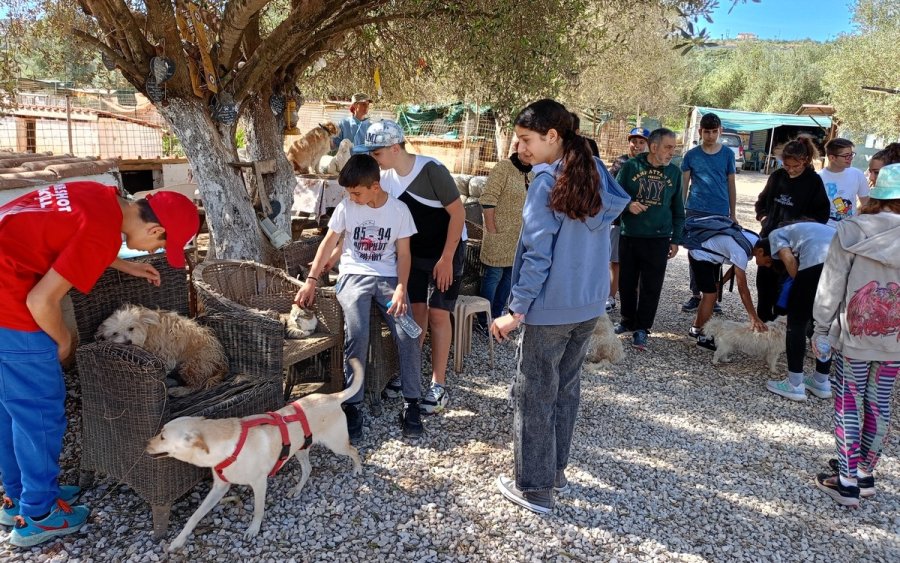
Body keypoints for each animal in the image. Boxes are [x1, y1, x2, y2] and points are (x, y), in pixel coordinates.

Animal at [94, 304, 227, 396]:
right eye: (115, 334)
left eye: (131, 328)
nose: (128, 342)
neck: (147, 332)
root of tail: (220, 360)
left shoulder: (166, 354)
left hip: (192, 365)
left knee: (197, 385)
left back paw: (179, 391)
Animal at [146, 362, 364, 552]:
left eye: (163, 436)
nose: (146, 444)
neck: (228, 446)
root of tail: (333, 396)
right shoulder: (219, 488)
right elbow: (195, 516)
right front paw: (178, 540)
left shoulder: (259, 483)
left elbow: (258, 509)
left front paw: (253, 529)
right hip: (300, 448)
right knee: (308, 469)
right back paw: (297, 489)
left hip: (336, 444)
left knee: (354, 451)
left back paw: (357, 470)